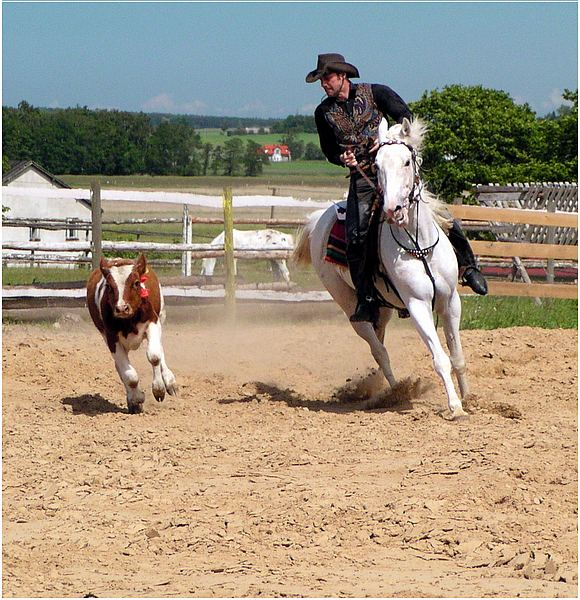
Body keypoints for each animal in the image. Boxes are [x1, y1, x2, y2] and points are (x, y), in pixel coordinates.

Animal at [86, 253, 177, 412]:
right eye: (109, 286)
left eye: (136, 283)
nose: (122, 308)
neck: (129, 321)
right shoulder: (111, 338)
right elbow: (130, 376)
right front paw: (136, 399)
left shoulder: (153, 322)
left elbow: (154, 356)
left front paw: (159, 389)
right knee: (119, 367)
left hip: (161, 316)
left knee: (160, 351)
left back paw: (169, 381)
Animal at [296, 116, 468, 418]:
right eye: (376, 165)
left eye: (407, 162)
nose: (392, 209)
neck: (419, 245)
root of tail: (319, 219)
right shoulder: (417, 304)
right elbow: (440, 358)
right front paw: (455, 407)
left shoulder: (450, 300)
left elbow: (457, 355)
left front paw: (469, 398)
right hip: (350, 304)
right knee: (379, 351)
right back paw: (395, 391)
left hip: (384, 307)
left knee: (380, 340)